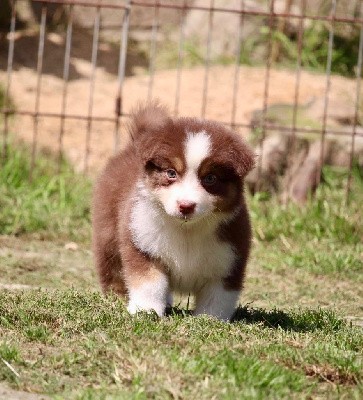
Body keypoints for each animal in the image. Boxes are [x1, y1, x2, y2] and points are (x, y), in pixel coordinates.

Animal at [91, 101, 256, 320]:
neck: (186, 229)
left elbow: (218, 298)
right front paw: (146, 311)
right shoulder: (142, 242)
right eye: (171, 173)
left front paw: (210, 320)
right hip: (108, 232)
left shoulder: (229, 259)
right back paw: (116, 297)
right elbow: (149, 283)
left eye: (210, 178)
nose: (186, 205)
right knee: (112, 268)